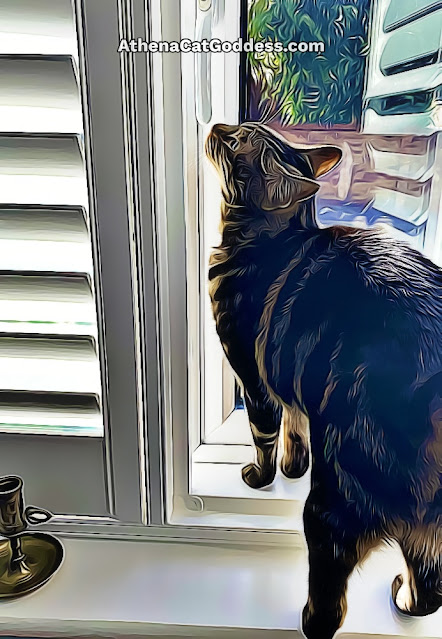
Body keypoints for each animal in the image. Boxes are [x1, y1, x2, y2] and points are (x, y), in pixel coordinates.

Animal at [205, 121, 442, 639]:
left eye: (235, 141)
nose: (216, 125)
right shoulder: (293, 377)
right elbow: (295, 431)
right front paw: (294, 466)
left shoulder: (253, 377)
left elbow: (264, 435)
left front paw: (261, 476)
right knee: (430, 586)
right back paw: (403, 597)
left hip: (332, 508)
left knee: (330, 608)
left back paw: (309, 621)